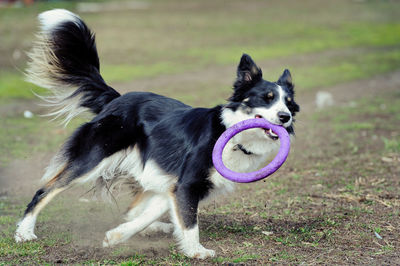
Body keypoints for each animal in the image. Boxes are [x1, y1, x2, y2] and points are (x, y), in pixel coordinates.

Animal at [14, 9, 296, 258]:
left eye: (289, 103)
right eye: (266, 98)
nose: (286, 117)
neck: (232, 134)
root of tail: (117, 99)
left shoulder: (177, 184)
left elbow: (155, 214)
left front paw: (117, 236)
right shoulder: (187, 182)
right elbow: (189, 221)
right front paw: (196, 251)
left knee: (133, 209)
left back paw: (153, 227)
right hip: (92, 158)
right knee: (45, 190)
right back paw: (24, 231)